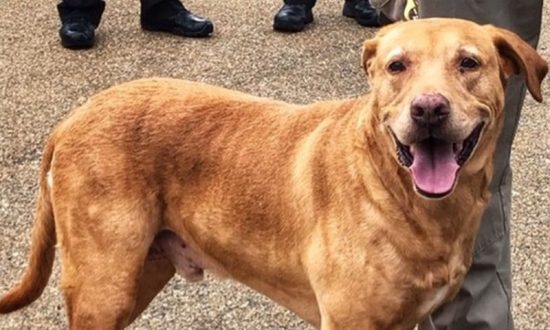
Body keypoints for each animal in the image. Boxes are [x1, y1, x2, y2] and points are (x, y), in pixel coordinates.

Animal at [0, 18, 548, 330]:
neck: (402, 196)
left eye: (468, 63)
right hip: (104, 286)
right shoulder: (349, 323)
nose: (429, 110)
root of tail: (74, 115)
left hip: (137, 275)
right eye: (398, 67)